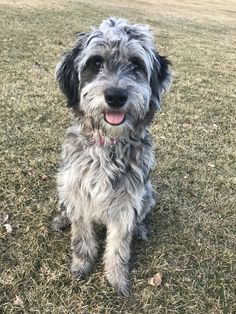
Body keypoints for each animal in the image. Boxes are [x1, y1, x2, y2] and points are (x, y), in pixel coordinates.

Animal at [52, 17, 171, 296]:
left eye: (136, 65)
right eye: (96, 63)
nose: (116, 96)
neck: (109, 143)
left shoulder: (126, 203)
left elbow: (118, 245)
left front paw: (116, 277)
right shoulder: (77, 190)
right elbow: (81, 235)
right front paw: (82, 264)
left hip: (148, 192)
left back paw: (140, 229)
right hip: (62, 182)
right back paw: (61, 218)